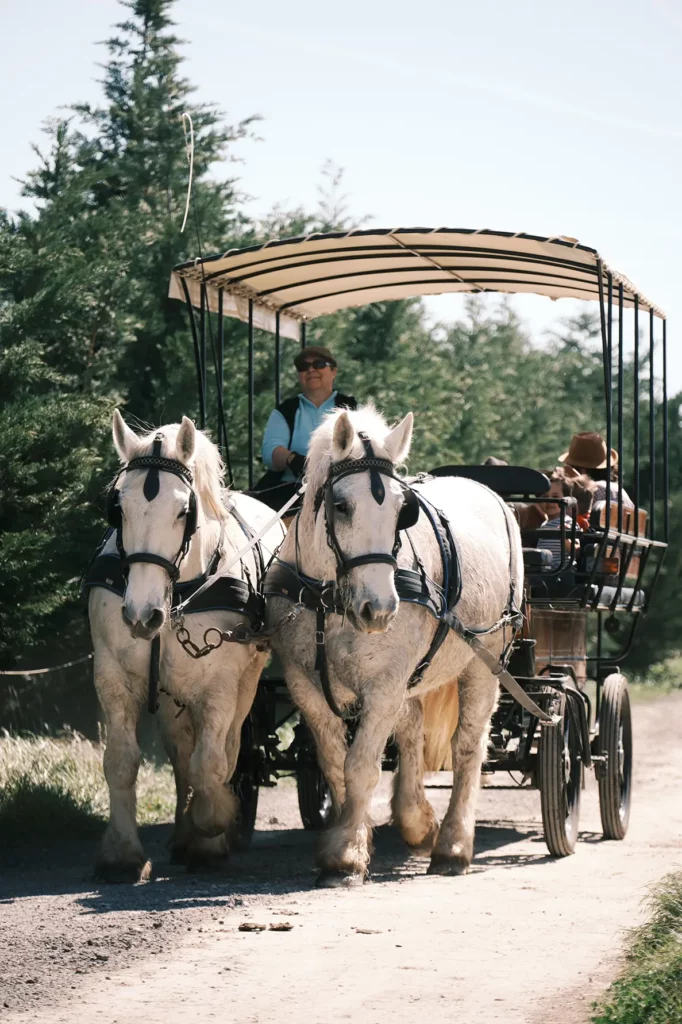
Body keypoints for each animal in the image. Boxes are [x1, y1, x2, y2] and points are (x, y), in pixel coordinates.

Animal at [88, 411, 285, 881]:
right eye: (119, 507)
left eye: (183, 510)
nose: (141, 615)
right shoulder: (112, 675)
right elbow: (121, 761)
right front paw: (122, 854)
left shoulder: (219, 686)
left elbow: (211, 763)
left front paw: (210, 830)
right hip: (169, 692)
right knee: (180, 752)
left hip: (245, 683)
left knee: (227, 750)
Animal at [265, 404, 523, 886]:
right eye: (341, 505)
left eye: (404, 512)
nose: (380, 608)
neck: (330, 600)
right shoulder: (305, 686)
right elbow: (335, 764)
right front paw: (350, 839)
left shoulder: (383, 686)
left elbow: (360, 766)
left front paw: (346, 854)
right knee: (411, 732)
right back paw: (416, 821)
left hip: (485, 662)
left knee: (468, 747)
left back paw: (453, 846)